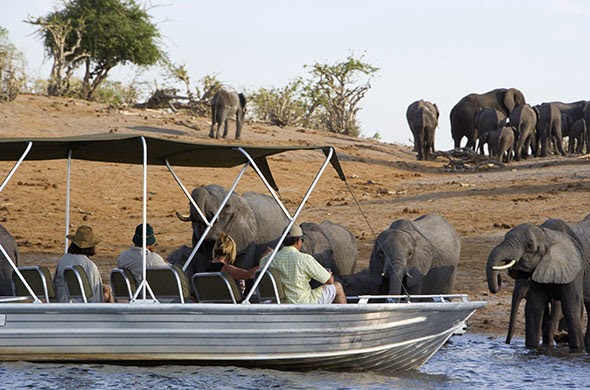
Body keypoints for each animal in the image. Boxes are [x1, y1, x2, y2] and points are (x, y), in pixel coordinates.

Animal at [488, 222, 588, 354]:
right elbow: (534, 308)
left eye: (530, 245)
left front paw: (577, 349)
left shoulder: (572, 271)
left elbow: (570, 308)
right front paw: (533, 348)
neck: (548, 236)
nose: (499, 277)